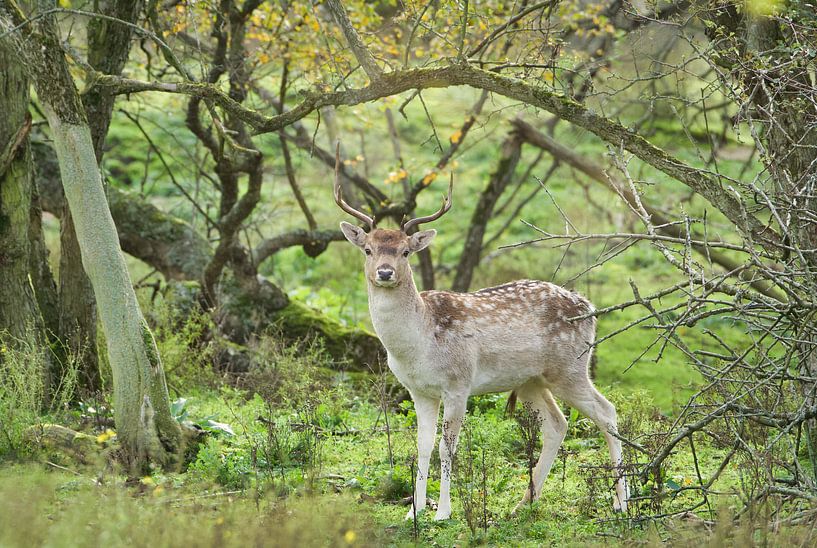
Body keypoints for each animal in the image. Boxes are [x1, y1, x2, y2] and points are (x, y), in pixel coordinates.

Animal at [334, 151, 628, 524]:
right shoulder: (418, 391)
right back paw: (524, 503)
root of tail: (589, 307)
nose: (384, 273)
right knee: (557, 424)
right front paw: (414, 511)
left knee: (607, 412)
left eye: (405, 252)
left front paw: (443, 512)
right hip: (531, 380)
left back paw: (622, 502)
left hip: (570, 367)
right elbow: (422, 446)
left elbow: (447, 446)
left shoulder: (458, 382)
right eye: (368, 250)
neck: (417, 345)